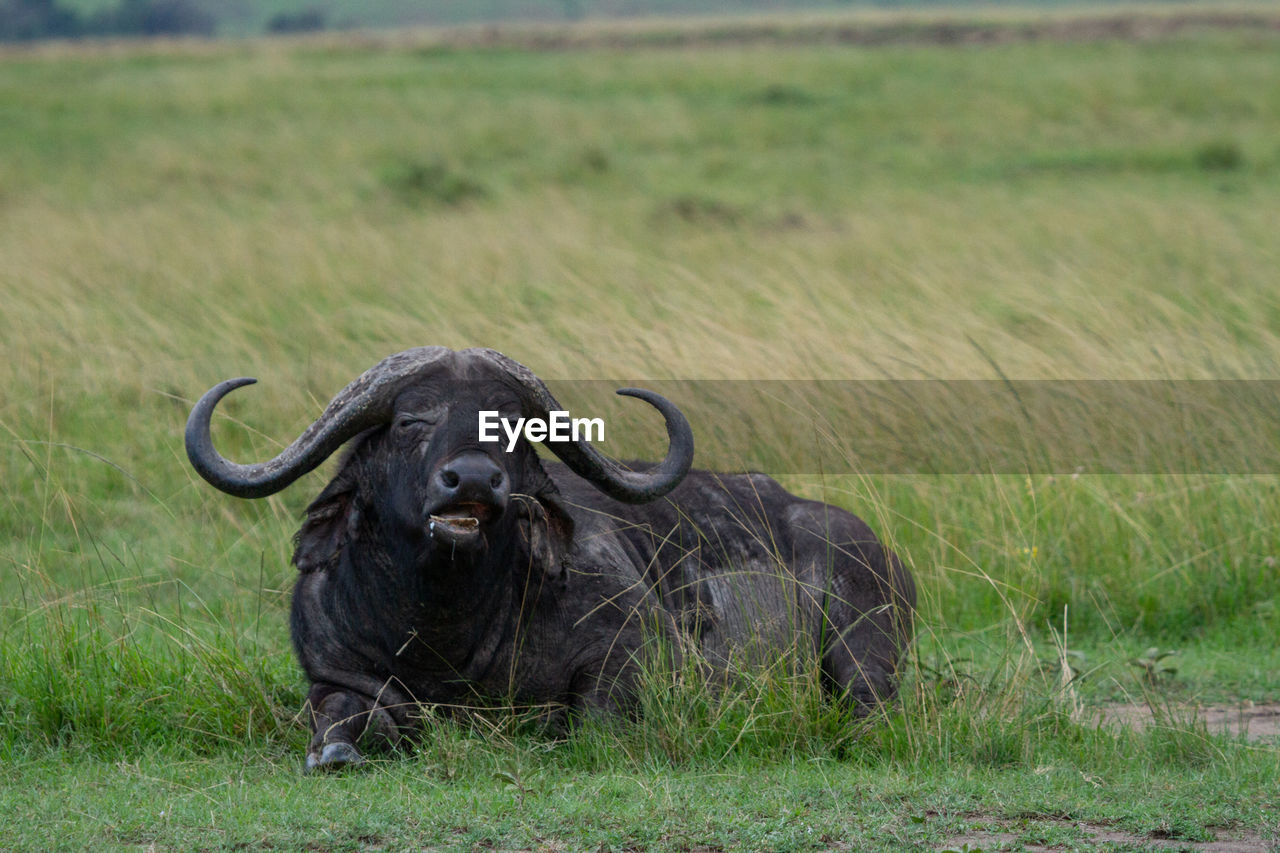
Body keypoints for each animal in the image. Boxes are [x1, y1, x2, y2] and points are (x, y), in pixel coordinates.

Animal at [185, 345, 916, 768]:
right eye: (412, 420)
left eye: (515, 424)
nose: (473, 479)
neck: (445, 632)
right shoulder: (334, 674)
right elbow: (338, 726)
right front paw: (337, 751)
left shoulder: (637, 652)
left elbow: (592, 722)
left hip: (861, 652)